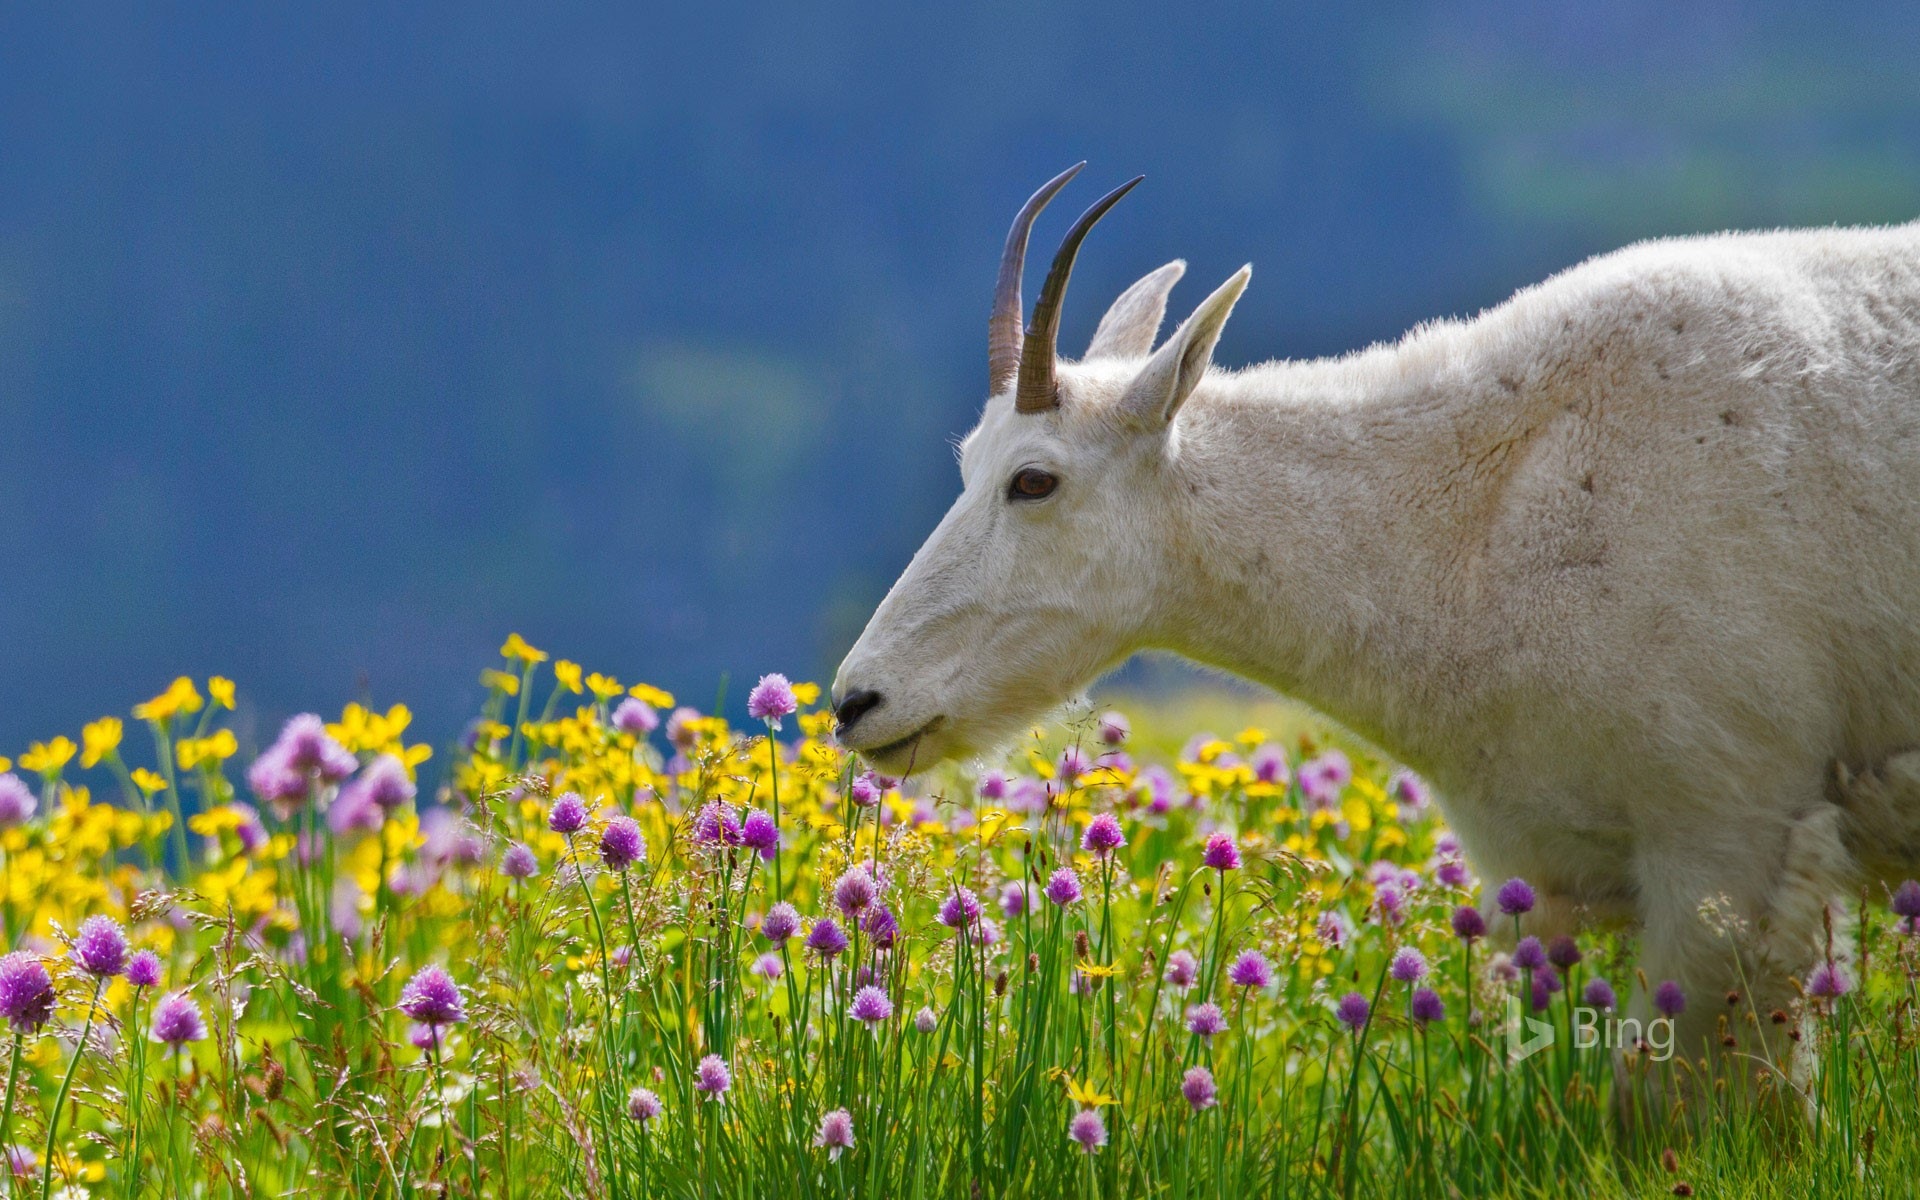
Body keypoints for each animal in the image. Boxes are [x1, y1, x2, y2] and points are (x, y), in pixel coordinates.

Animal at [833, 161, 1920, 1067]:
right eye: (970, 463)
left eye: (1034, 479)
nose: (857, 703)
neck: (1477, 519)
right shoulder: (1550, 878)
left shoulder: (1734, 833)